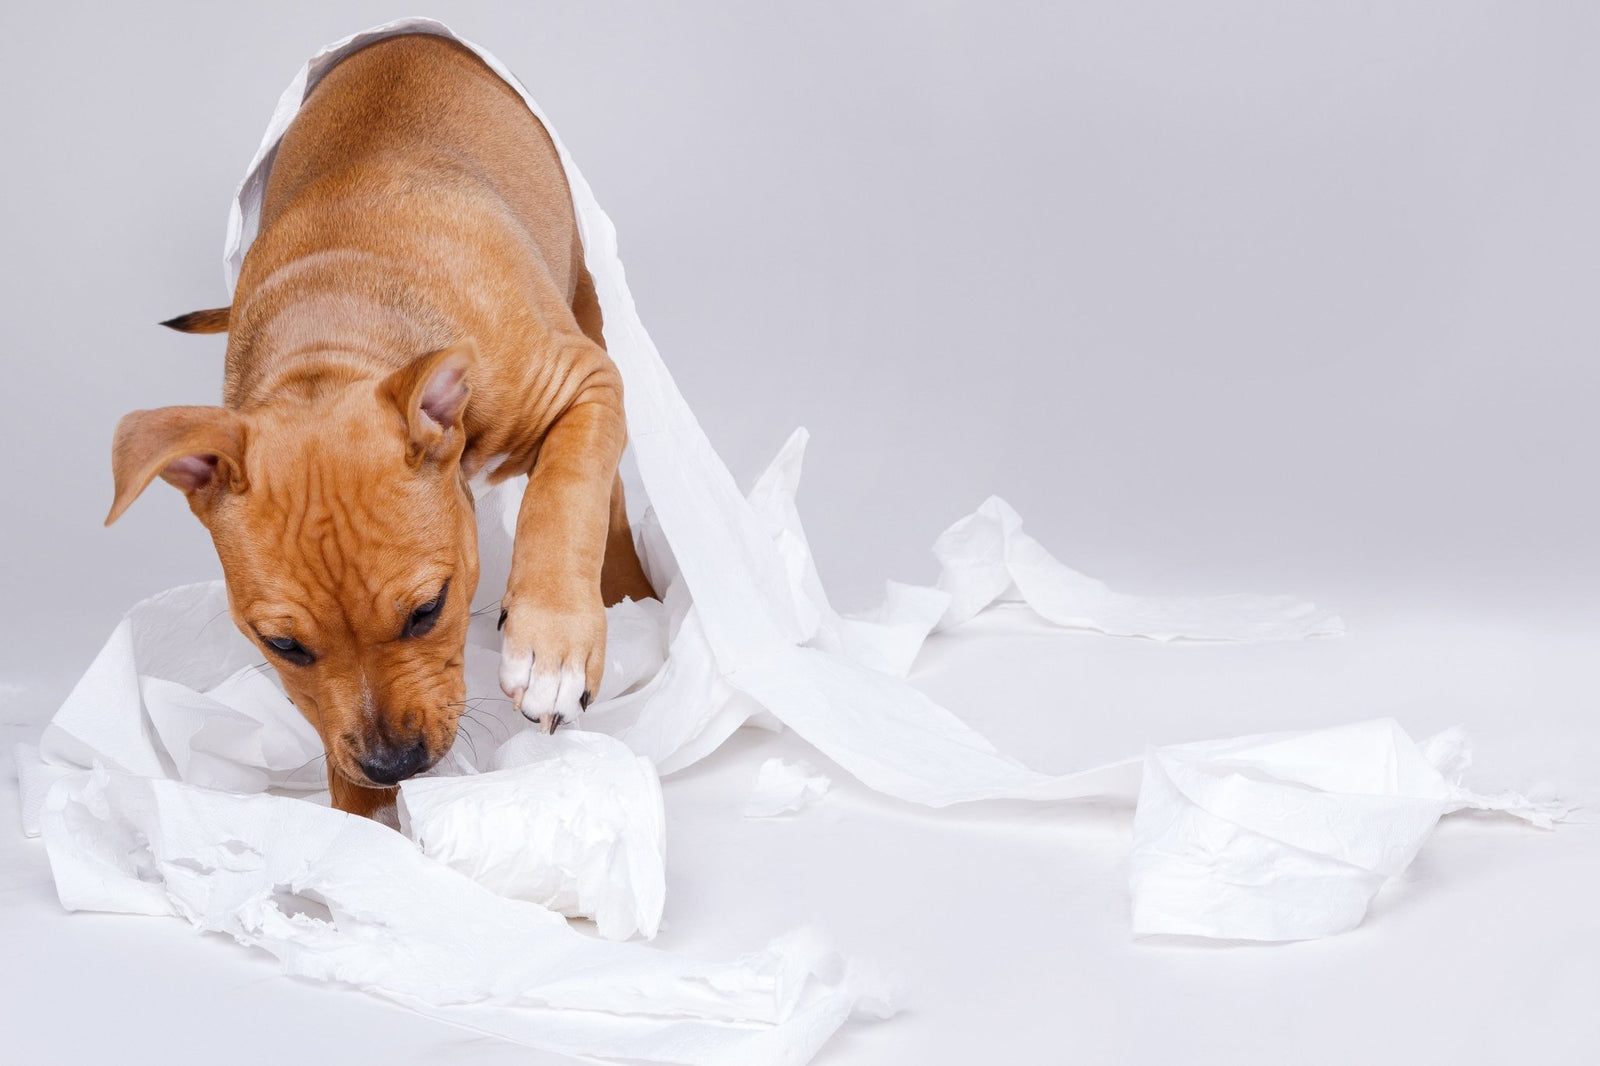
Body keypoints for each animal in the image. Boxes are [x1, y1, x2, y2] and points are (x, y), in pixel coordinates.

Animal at [108, 33, 656, 813]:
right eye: (283, 646)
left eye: (428, 610)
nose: (393, 763)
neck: (334, 333)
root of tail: (411, 36)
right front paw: (360, 827)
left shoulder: (585, 381)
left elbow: (565, 491)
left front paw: (550, 646)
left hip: (587, 307)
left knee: (601, 491)